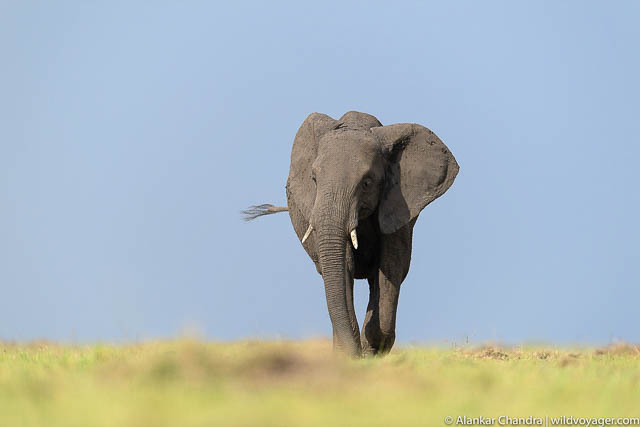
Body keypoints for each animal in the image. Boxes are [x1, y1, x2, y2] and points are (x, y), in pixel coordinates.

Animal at [243, 111, 459, 357]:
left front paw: (372, 349)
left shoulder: (399, 206)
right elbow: (343, 264)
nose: (354, 351)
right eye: (314, 179)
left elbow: (391, 267)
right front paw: (351, 353)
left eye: (367, 182)